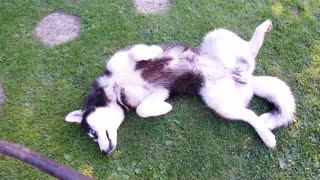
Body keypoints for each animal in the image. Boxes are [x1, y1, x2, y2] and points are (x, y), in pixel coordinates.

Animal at [65, 20, 296, 155]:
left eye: (92, 132)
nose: (104, 152)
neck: (115, 89)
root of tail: (245, 76)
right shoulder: (159, 92)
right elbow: (143, 109)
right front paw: (165, 108)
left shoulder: (122, 57)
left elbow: (137, 52)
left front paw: (153, 50)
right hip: (219, 101)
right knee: (249, 111)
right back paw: (266, 133)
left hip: (216, 37)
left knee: (250, 49)